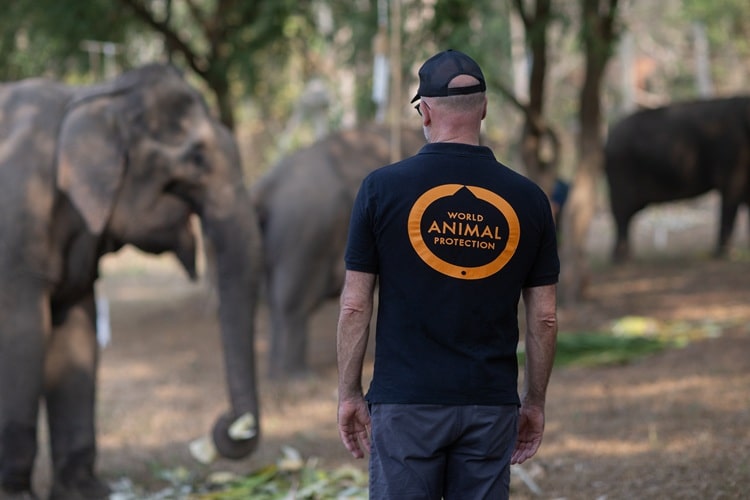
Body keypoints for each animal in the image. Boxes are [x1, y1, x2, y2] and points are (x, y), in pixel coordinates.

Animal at [0, 64, 263, 499]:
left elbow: (77, 331)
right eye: (196, 157)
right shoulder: (17, 228)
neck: (94, 95)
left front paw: (86, 490)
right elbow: (23, 333)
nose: (228, 425)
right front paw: (15, 494)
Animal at [252, 124, 426, 378]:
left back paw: (277, 374)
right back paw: (297, 378)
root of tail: (267, 185)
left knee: (275, 299)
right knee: (293, 300)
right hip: (305, 231)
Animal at [604, 96, 750, 262]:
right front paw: (727, 255)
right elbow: (731, 192)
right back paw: (621, 259)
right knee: (622, 212)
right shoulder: (731, 151)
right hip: (621, 170)